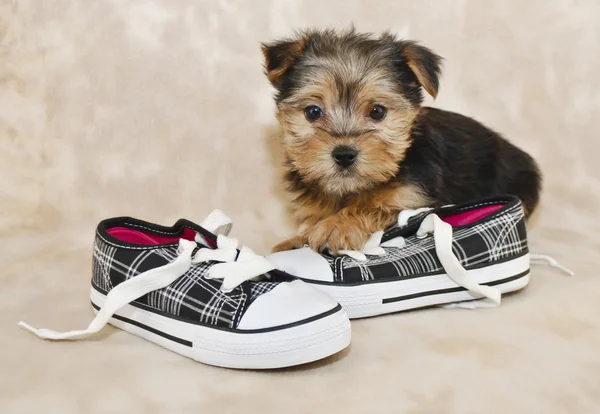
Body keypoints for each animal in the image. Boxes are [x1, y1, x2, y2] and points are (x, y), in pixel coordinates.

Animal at [262, 28, 544, 252]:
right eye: (313, 112)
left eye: (377, 111)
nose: (343, 154)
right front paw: (295, 240)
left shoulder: (414, 201)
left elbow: (375, 208)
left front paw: (337, 225)